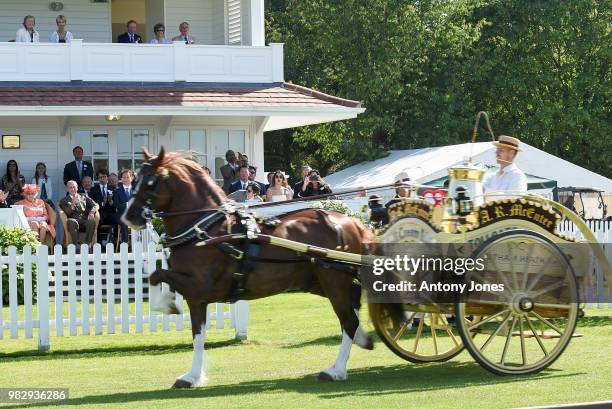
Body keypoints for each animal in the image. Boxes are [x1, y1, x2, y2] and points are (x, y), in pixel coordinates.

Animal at [122, 147, 376, 386]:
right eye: (134, 179)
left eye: (151, 181)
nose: (128, 216)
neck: (204, 229)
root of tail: (351, 222)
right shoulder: (198, 298)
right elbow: (197, 335)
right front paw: (193, 376)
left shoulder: (197, 286)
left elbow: (157, 275)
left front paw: (167, 305)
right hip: (322, 281)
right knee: (352, 312)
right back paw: (360, 341)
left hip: (334, 281)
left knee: (349, 321)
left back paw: (336, 370)